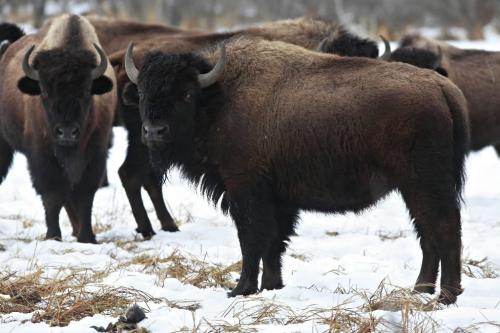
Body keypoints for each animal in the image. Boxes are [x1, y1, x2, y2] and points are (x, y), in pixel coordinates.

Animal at [0, 14, 116, 243]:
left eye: (87, 90)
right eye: (44, 91)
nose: (67, 132)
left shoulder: (95, 155)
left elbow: (85, 196)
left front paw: (87, 237)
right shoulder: (42, 157)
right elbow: (53, 197)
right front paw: (53, 236)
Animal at [120, 37, 468, 304]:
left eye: (187, 94)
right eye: (143, 93)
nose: (154, 132)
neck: (220, 98)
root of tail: (442, 88)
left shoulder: (245, 190)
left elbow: (252, 238)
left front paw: (241, 289)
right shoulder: (278, 199)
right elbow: (275, 242)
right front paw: (272, 285)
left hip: (424, 183)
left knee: (444, 228)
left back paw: (445, 296)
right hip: (415, 188)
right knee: (428, 233)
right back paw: (420, 290)